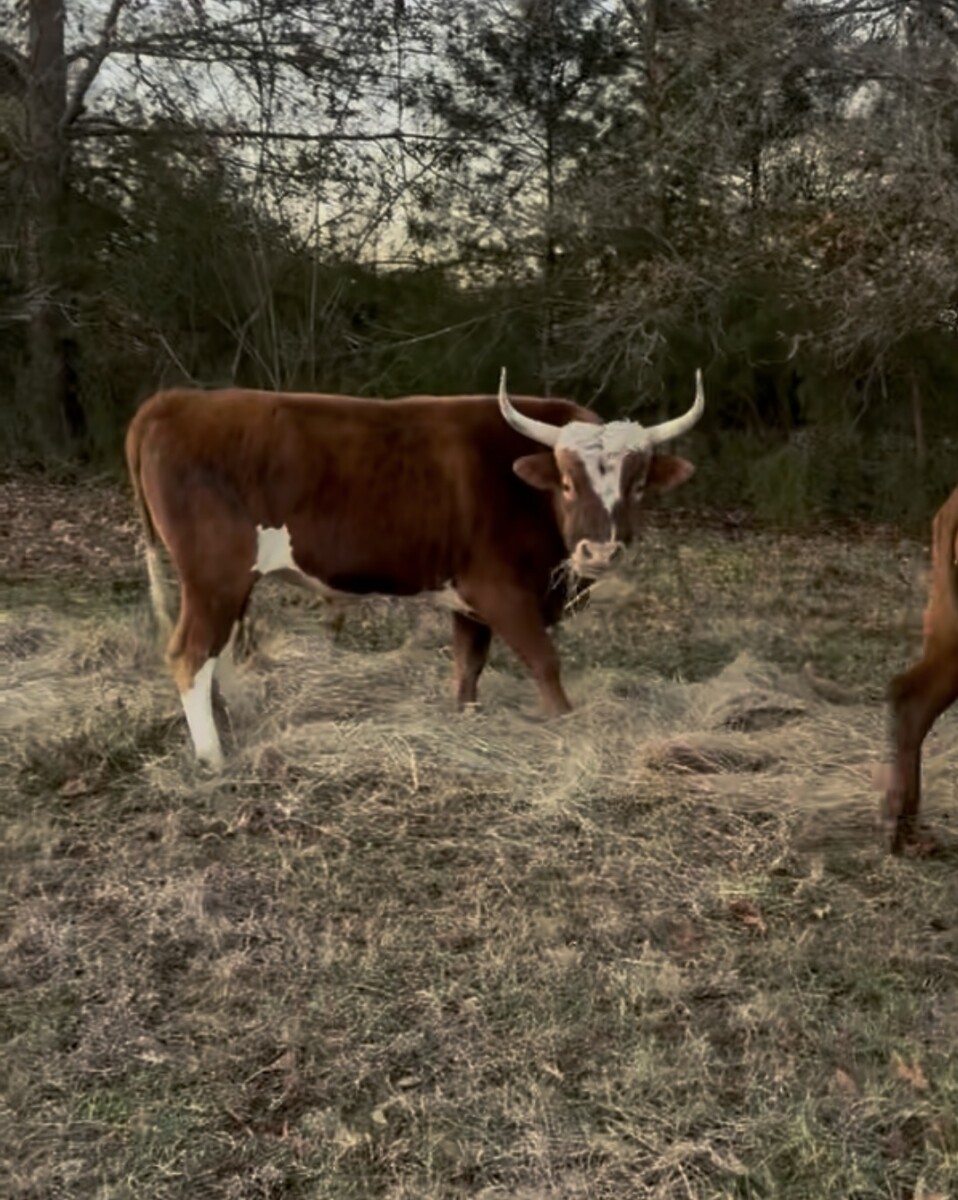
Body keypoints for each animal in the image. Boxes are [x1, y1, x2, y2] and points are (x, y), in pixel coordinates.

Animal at [125, 369, 705, 767]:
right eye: (566, 482)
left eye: (637, 484)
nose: (599, 553)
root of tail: (176, 400)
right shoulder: (501, 591)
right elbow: (546, 665)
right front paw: (569, 731)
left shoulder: (470, 602)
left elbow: (468, 668)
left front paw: (466, 721)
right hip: (215, 574)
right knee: (190, 655)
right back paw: (214, 759)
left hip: (227, 584)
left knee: (216, 651)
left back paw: (238, 718)